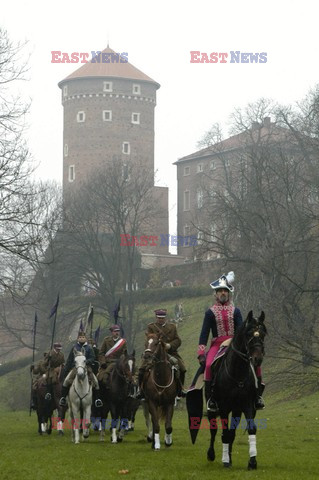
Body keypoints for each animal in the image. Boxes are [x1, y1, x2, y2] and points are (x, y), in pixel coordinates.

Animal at [206, 312, 266, 468]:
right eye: (248, 334)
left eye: (263, 334)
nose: (257, 359)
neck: (238, 372)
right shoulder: (224, 407)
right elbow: (224, 433)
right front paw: (225, 460)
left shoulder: (247, 405)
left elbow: (251, 429)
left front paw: (252, 461)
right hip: (214, 408)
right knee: (214, 430)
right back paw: (212, 455)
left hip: (237, 410)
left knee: (231, 433)